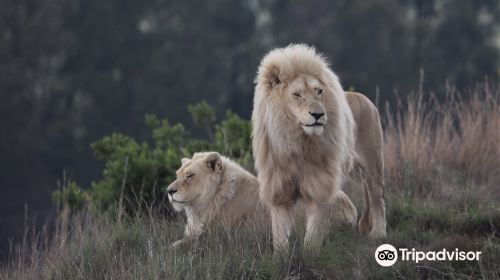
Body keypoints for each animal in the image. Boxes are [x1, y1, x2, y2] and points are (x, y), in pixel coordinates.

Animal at [254, 44, 386, 252]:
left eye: (319, 91)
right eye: (297, 94)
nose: (318, 114)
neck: (295, 140)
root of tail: (363, 97)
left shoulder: (320, 182)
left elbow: (314, 228)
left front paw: (310, 252)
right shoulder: (279, 186)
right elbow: (280, 232)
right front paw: (281, 255)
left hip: (373, 165)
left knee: (377, 199)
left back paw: (378, 235)